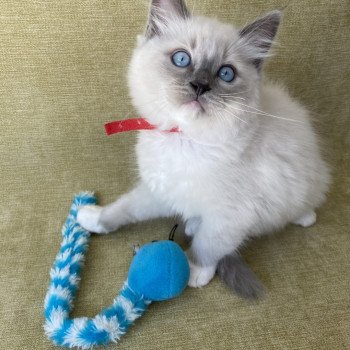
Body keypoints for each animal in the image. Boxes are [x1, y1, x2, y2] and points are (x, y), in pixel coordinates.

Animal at [77, 0, 330, 296]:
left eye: (226, 74)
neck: (183, 140)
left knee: (304, 206)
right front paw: (93, 218)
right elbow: (124, 208)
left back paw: (305, 217)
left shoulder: (230, 216)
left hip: (302, 189)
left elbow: (208, 245)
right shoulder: (162, 189)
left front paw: (194, 270)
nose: (200, 85)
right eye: (182, 59)